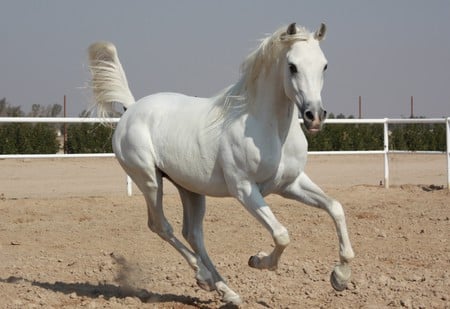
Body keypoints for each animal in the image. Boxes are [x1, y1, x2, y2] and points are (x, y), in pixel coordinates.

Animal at [89, 22, 356, 304]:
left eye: (324, 65)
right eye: (292, 66)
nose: (314, 116)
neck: (269, 128)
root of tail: (131, 110)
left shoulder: (290, 184)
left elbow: (335, 207)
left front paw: (340, 277)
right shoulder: (245, 189)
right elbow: (281, 235)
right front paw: (258, 260)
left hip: (190, 189)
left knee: (192, 233)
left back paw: (226, 291)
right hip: (149, 181)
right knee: (161, 226)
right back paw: (205, 277)